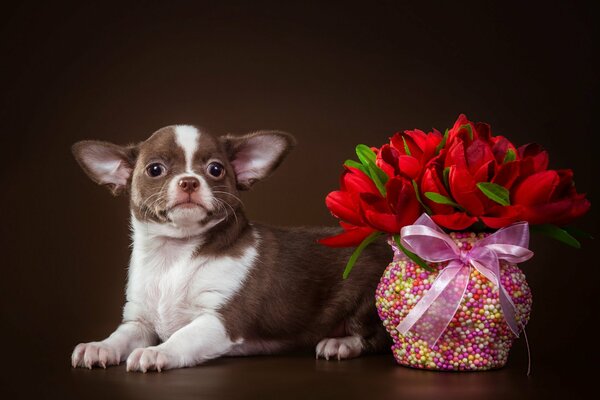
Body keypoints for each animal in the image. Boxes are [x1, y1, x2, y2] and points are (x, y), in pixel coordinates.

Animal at [70, 125, 392, 372]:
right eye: (155, 169)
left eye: (215, 169)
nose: (189, 181)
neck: (175, 256)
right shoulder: (139, 322)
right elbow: (120, 336)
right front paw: (99, 347)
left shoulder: (220, 321)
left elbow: (182, 338)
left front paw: (157, 352)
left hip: (367, 299)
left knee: (375, 338)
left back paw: (340, 343)